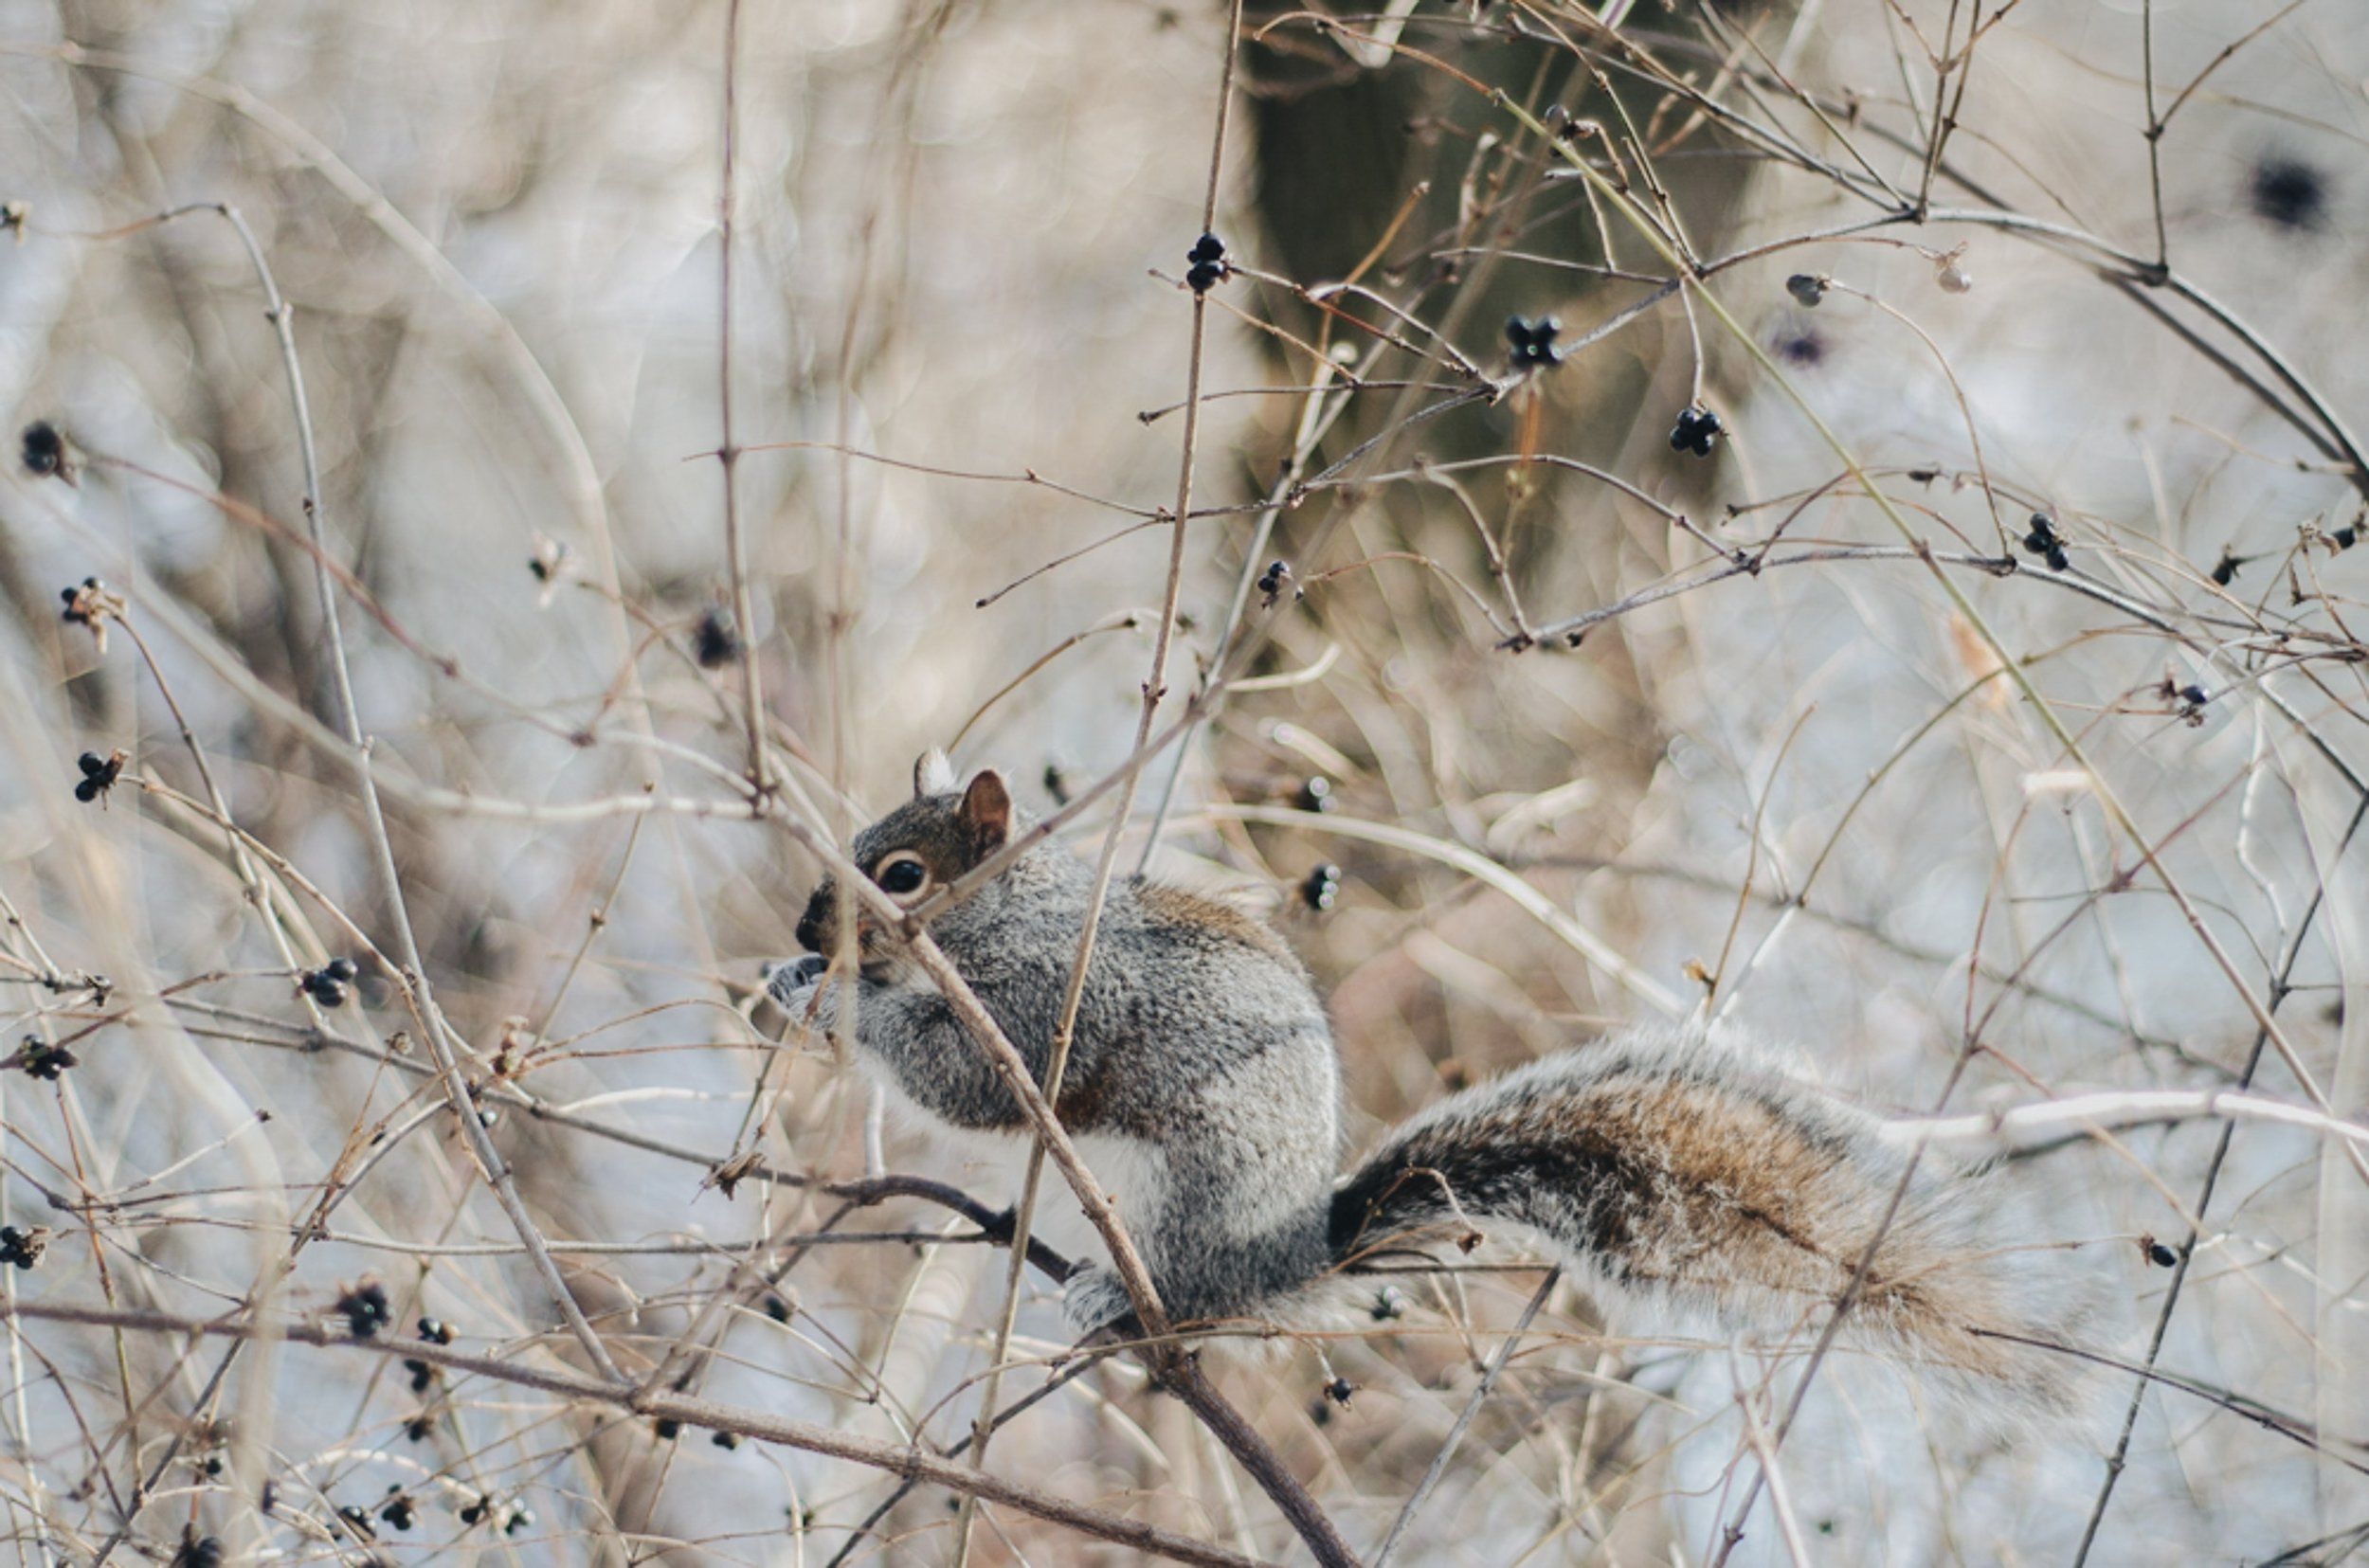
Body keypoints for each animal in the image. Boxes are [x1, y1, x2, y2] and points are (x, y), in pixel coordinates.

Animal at [772, 763, 2094, 1412]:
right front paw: (788, 984)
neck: (1004, 920)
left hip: (1190, 1199)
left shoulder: (1057, 1003)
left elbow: (968, 1079)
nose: (803, 926)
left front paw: (843, 1004)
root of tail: (1295, 1249)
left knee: (1197, 1300)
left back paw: (1123, 1298)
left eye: (900, 870)